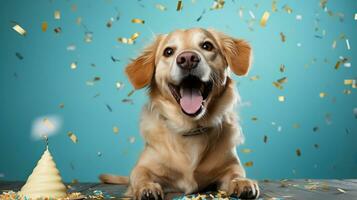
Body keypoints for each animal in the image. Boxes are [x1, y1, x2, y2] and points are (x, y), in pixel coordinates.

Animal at [100, 28, 258, 200]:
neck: (190, 129)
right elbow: (140, 175)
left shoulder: (230, 165)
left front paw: (242, 182)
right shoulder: (143, 166)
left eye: (207, 46)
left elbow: (236, 173)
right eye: (168, 51)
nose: (188, 59)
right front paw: (147, 188)